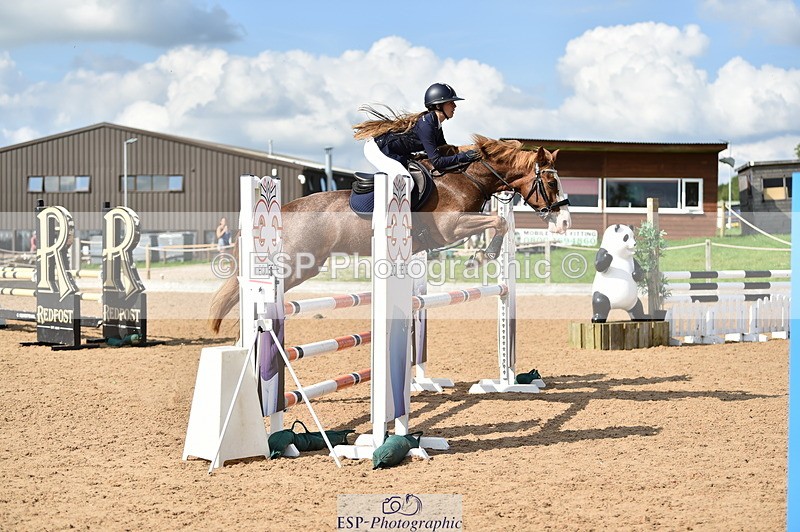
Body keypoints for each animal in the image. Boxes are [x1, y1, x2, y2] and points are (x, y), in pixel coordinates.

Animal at [208, 134, 571, 333]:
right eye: (550, 181)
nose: (565, 220)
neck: (465, 178)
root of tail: (282, 210)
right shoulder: (450, 228)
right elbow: (499, 222)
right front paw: (481, 257)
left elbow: (501, 223)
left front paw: (482, 257)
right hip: (296, 264)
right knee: (246, 290)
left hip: (304, 266)